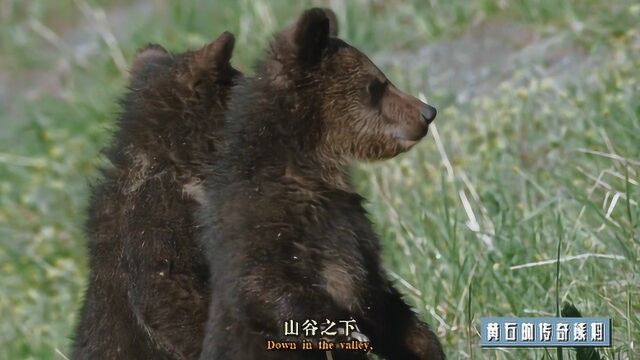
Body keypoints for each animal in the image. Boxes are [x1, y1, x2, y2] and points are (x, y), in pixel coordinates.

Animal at [198, 7, 442, 360]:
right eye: (376, 85)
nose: (427, 111)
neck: (309, 165)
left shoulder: (350, 224)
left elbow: (382, 298)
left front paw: (424, 344)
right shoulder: (259, 219)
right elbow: (260, 283)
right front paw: (340, 329)